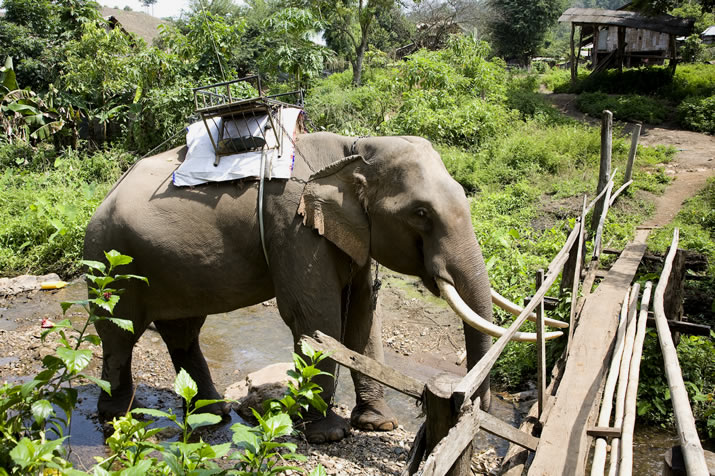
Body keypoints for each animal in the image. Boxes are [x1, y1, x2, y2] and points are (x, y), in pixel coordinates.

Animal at [84, 132, 562, 444]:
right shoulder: (293, 228)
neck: (354, 148)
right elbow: (316, 316)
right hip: (110, 261)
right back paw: (114, 419)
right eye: (421, 213)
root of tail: (101, 201)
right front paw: (327, 434)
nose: (476, 406)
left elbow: (363, 315)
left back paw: (212, 416)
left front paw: (377, 425)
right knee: (120, 331)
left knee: (183, 330)